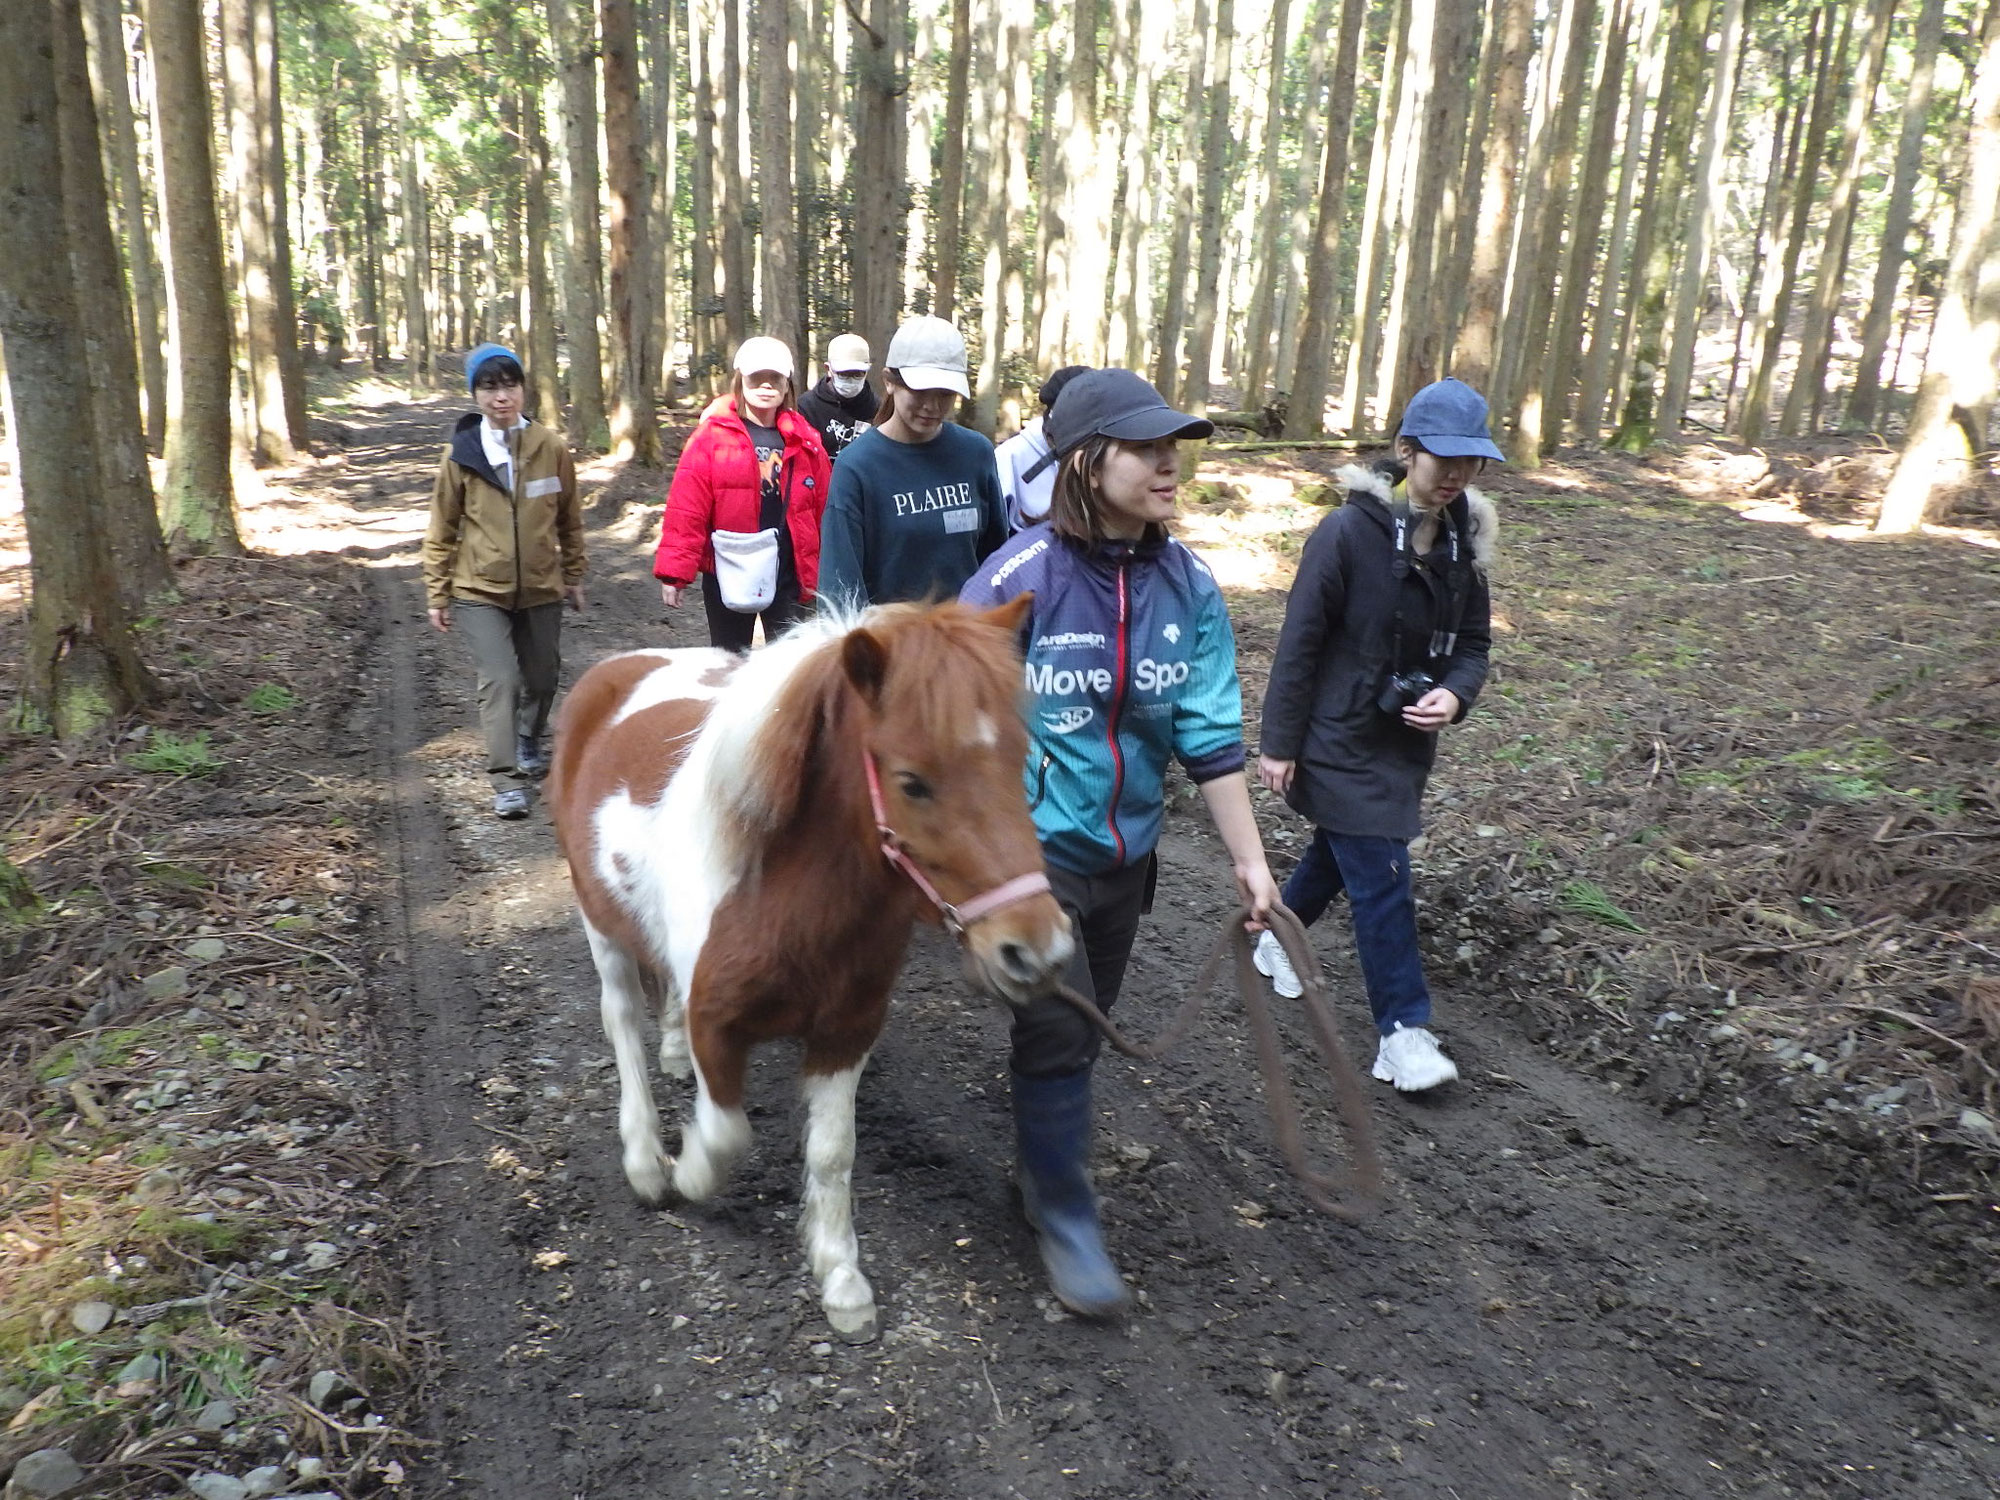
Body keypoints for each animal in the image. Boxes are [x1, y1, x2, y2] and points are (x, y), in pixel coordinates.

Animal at [548, 604, 1072, 1344]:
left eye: (1023, 765)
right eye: (911, 782)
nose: (1038, 949)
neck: (782, 892)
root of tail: (617, 671)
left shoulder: (846, 1033)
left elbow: (831, 1151)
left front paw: (841, 1277)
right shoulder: (718, 1026)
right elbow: (726, 1133)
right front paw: (688, 1178)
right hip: (601, 927)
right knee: (621, 1021)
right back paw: (645, 1159)